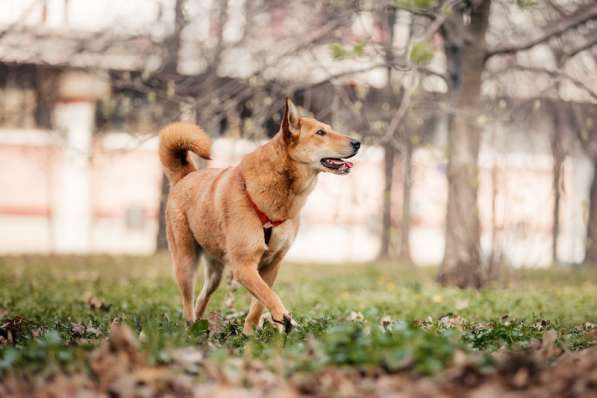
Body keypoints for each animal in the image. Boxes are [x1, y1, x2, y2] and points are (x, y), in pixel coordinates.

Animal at [158, 98, 358, 332]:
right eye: (320, 132)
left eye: (329, 129)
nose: (357, 143)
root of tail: (185, 175)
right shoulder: (243, 266)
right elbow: (269, 296)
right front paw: (284, 320)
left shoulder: (271, 265)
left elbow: (259, 303)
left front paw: (250, 333)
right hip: (185, 262)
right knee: (187, 300)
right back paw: (190, 328)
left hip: (215, 270)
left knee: (202, 296)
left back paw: (200, 325)